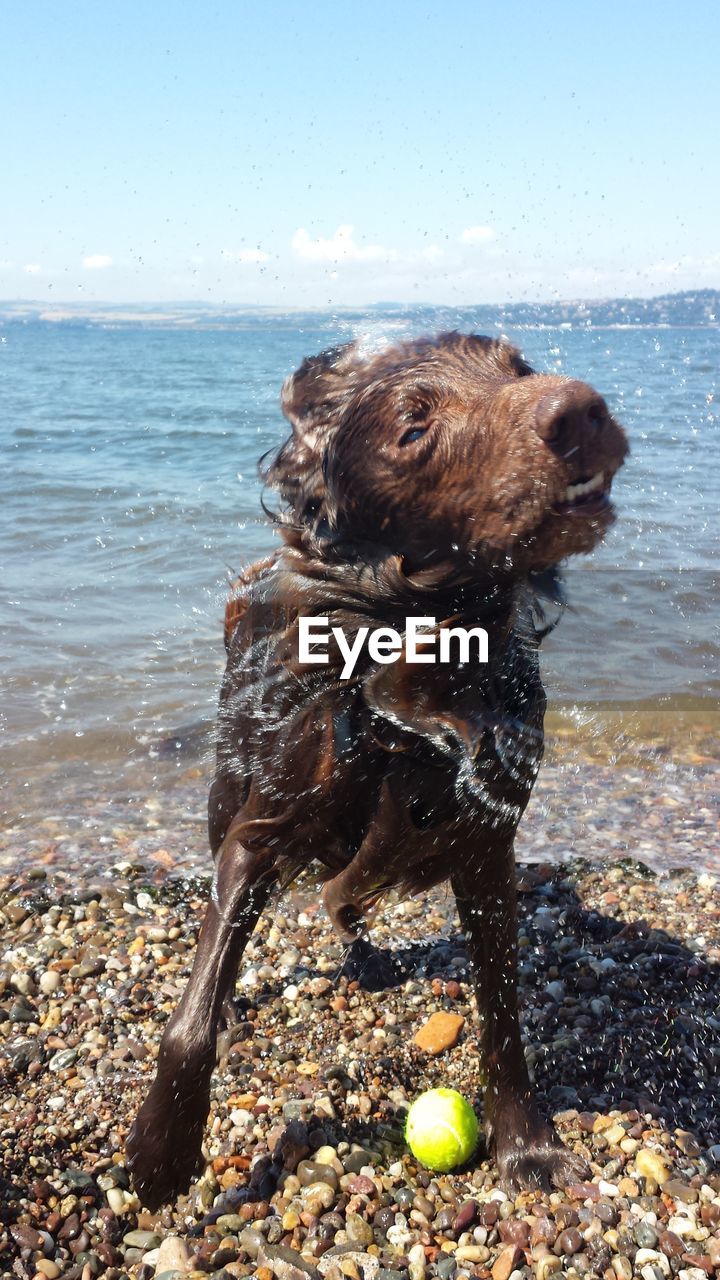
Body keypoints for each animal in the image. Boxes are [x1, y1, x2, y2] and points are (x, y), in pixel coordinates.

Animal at [126, 332, 625, 1208]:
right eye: (412, 428)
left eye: (520, 367)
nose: (581, 411)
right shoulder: (260, 829)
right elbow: (190, 1017)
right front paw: (161, 1152)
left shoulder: (485, 845)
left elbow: (504, 1016)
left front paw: (526, 1146)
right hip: (224, 792)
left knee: (345, 903)